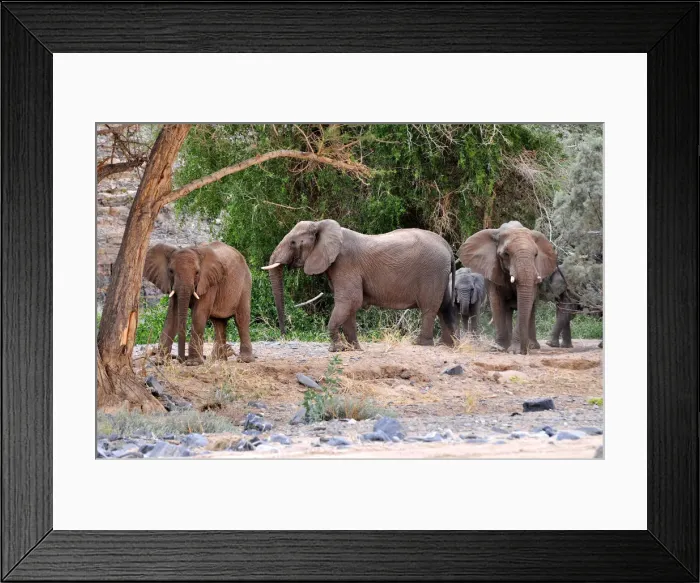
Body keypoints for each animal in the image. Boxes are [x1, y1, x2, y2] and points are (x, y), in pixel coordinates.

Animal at [262, 219, 457, 351]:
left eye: (293, 243)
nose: (284, 334)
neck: (321, 225)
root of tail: (447, 246)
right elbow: (350, 305)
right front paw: (353, 348)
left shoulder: (345, 263)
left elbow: (350, 300)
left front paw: (336, 350)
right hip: (441, 274)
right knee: (445, 306)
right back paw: (447, 345)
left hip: (432, 271)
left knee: (429, 308)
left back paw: (421, 344)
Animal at [458, 220, 557, 354]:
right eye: (506, 254)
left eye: (536, 255)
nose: (523, 351)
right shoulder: (492, 270)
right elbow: (496, 302)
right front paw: (498, 348)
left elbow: (526, 302)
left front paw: (514, 350)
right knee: (507, 310)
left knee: (531, 308)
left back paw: (532, 346)